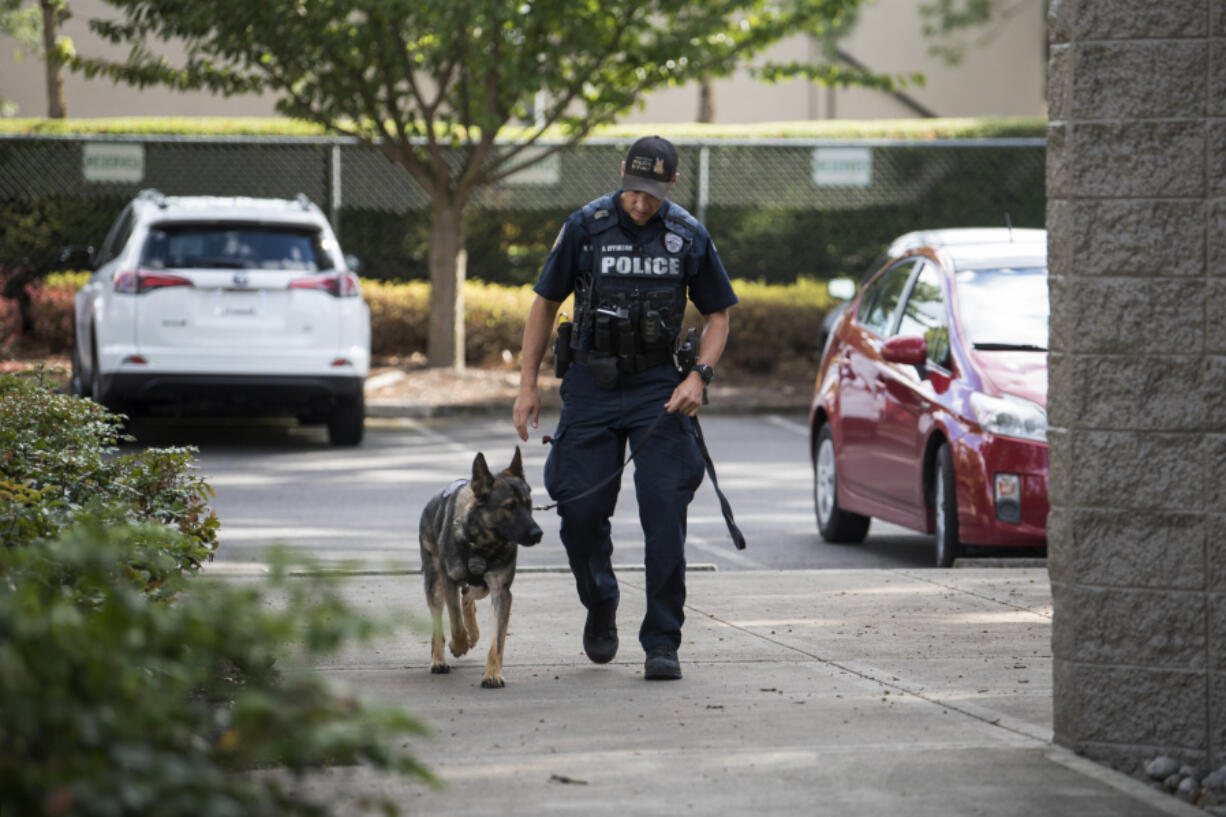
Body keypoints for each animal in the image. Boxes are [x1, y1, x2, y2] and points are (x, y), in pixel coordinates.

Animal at [419, 448, 539, 682]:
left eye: (529, 505)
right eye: (510, 507)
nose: (538, 534)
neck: (482, 544)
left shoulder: (501, 592)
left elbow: (498, 641)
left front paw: (492, 673)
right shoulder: (449, 582)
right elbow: (455, 624)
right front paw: (459, 645)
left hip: (483, 587)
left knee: (467, 596)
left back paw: (473, 633)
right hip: (435, 585)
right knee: (439, 622)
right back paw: (438, 659)